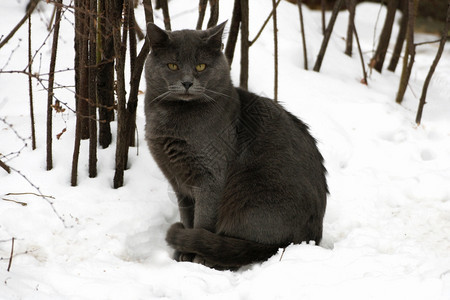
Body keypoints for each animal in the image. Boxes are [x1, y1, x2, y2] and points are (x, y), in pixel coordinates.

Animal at [144, 21, 326, 270]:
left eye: (201, 66)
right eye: (173, 65)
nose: (187, 82)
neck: (171, 121)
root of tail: (306, 239)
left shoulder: (210, 178)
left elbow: (202, 220)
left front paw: (194, 258)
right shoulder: (178, 182)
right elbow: (187, 217)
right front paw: (182, 254)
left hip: (252, 194)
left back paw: (210, 256)